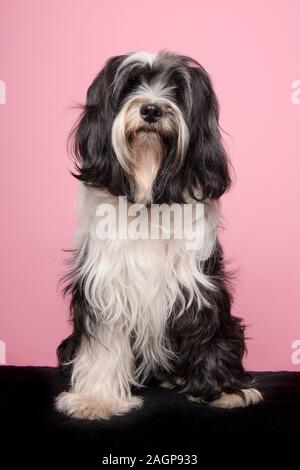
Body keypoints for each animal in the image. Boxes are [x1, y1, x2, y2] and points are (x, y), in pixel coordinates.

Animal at [55, 51, 262, 418]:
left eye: (177, 90)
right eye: (131, 85)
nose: (151, 110)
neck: (150, 194)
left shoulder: (198, 282)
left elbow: (207, 331)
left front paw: (223, 390)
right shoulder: (106, 283)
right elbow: (104, 341)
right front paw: (96, 397)